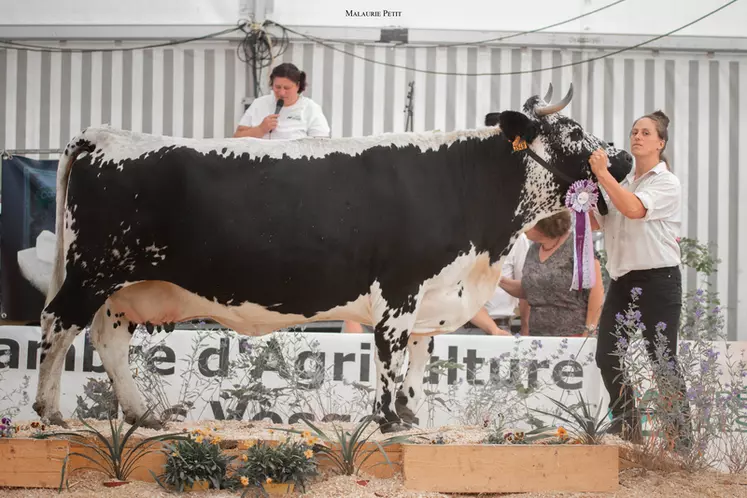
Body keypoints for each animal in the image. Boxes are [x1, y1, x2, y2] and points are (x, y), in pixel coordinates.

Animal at [33, 85, 632, 432]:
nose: (624, 158)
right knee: (57, 323)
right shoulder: (399, 289)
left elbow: (417, 362)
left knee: (107, 337)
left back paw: (143, 414)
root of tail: (102, 135)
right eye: (573, 131)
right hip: (94, 269)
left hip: (122, 287)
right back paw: (50, 413)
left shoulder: (433, 296)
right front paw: (389, 421)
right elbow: (390, 357)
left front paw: (411, 417)